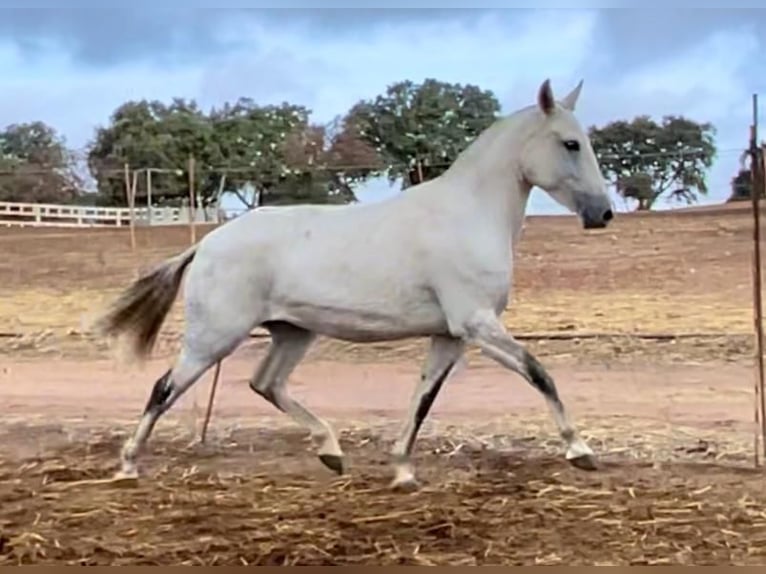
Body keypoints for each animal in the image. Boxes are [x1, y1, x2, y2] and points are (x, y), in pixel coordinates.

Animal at [93, 79, 616, 492]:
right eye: (571, 143)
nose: (603, 213)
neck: (467, 215)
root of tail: (206, 243)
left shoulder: (449, 336)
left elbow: (423, 399)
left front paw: (402, 471)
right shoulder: (476, 325)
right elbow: (538, 372)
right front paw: (581, 451)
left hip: (292, 332)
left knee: (265, 383)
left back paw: (331, 451)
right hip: (215, 338)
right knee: (164, 387)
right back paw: (127, 466)